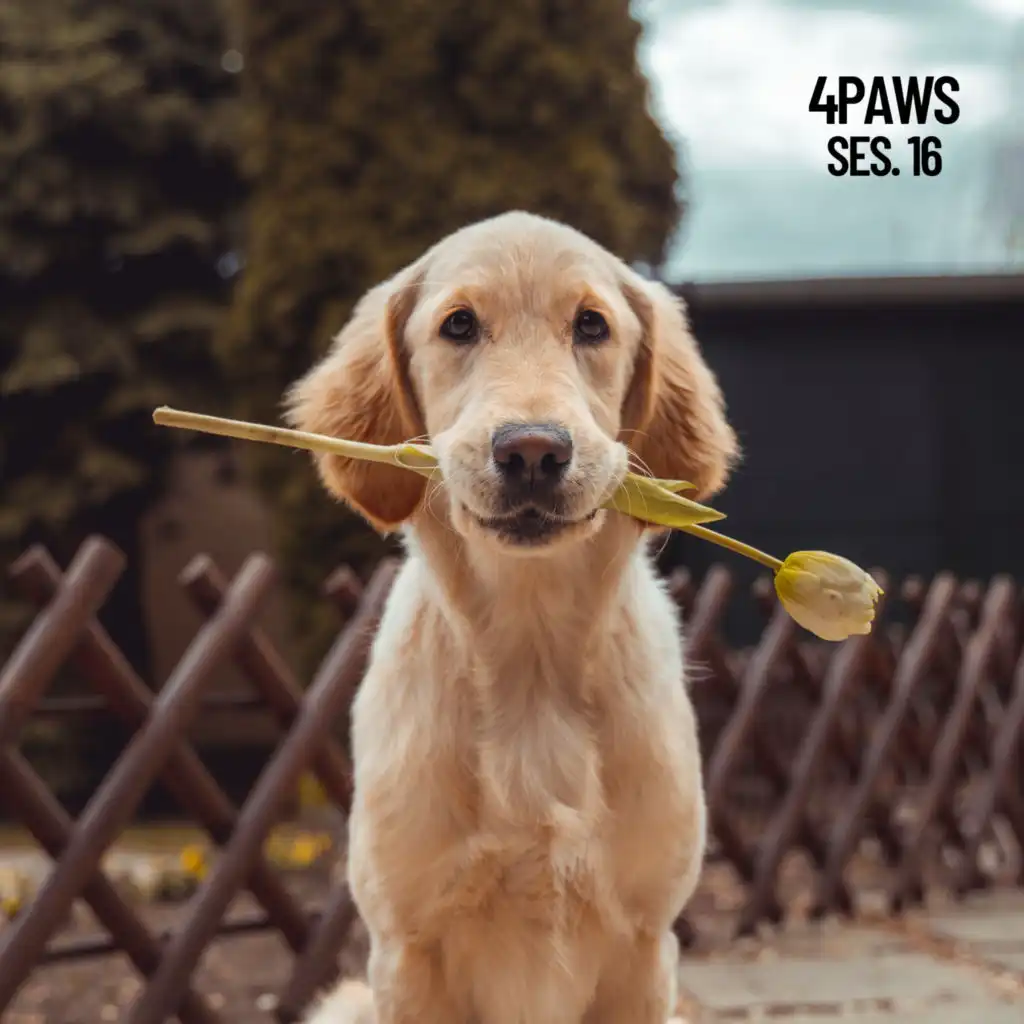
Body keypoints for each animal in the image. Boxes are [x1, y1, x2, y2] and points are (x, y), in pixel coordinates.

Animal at [288, 209, 737, 1024]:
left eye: (591, 325)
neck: (531, 655)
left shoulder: (644, 944)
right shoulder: (407, 947)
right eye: (459, 324)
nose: (532, 451)